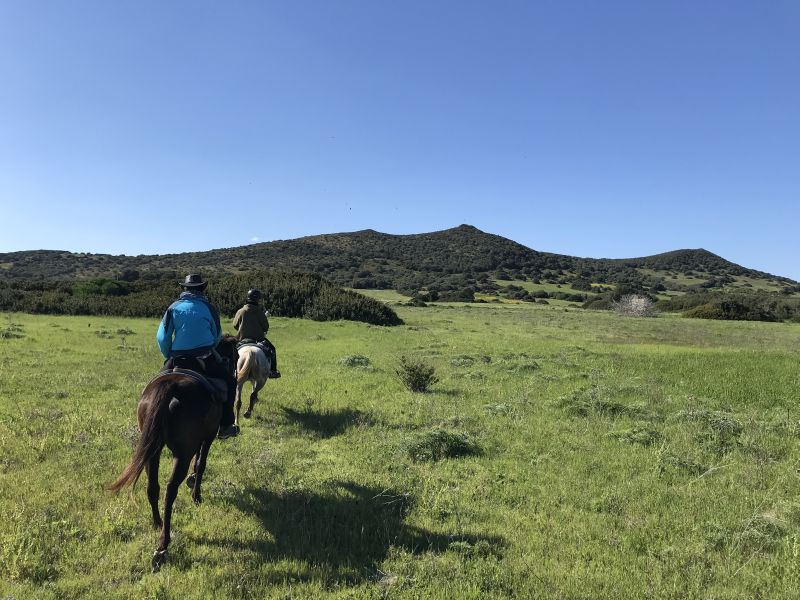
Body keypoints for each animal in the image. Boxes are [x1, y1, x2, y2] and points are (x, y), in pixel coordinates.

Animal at [111, 336, 239, 568]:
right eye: (234, 356)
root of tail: (171, 386)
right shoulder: (208, 437)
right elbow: (201, 464)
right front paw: (196, 495)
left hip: (153, 450)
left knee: (153, 487)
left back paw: (157, 522)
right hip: (182, 453)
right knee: (170, 489)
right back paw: (163, 543)